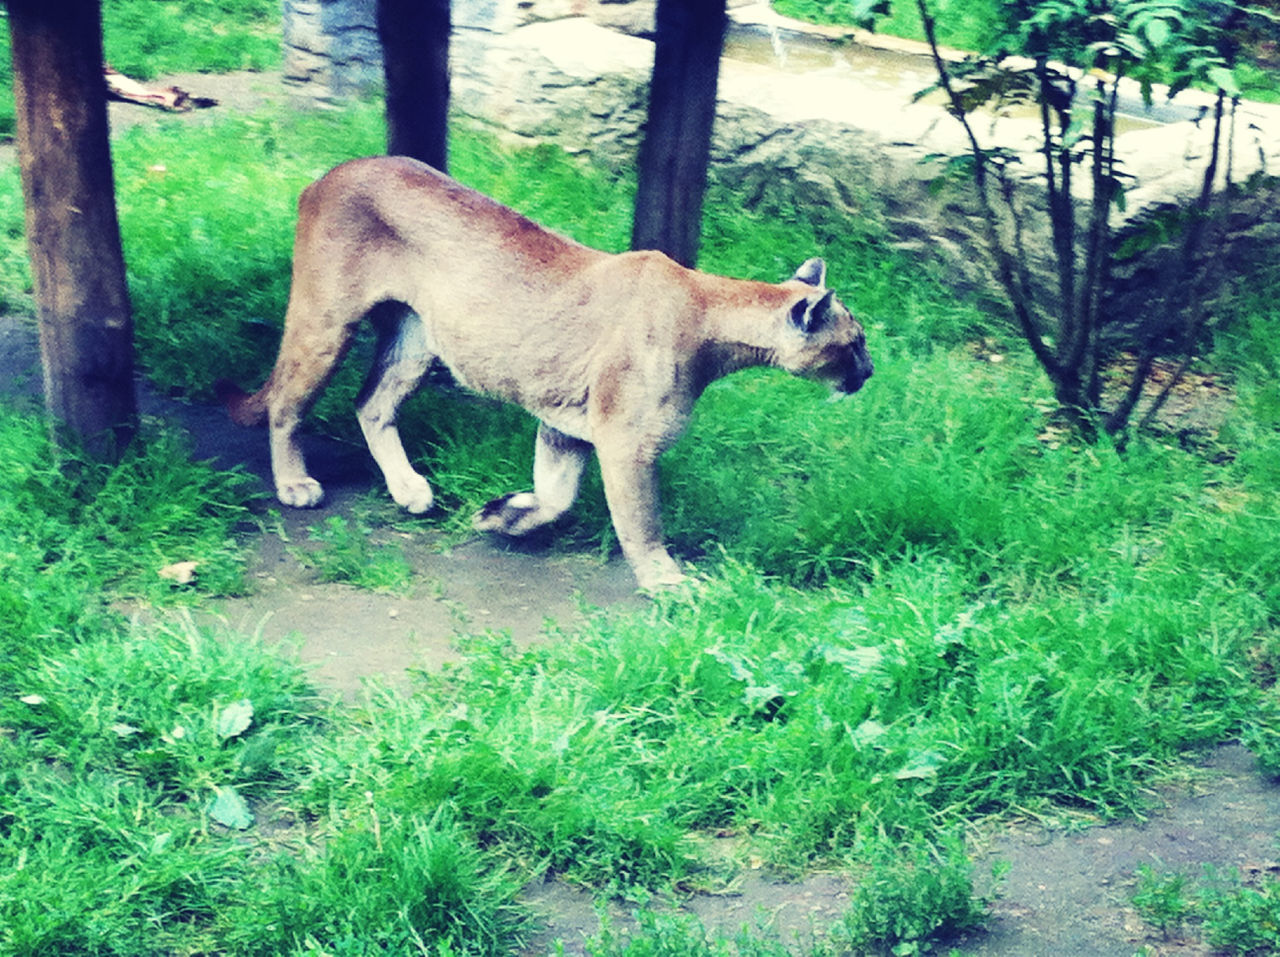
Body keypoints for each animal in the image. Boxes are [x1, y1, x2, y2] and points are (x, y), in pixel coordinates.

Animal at [222, 156, 880, 591]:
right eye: (855, 343)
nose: (871, 373)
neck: (712, 311)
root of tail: (328, 173)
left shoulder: (568, 424)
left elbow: (557, 497)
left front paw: (505, 516)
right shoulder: (625, 441)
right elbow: (640, 519)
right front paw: (667, 581)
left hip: (416, 337)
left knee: (371, 402)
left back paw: (409, 488)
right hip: (325, 323)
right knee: (287, 401)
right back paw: (294, 484)